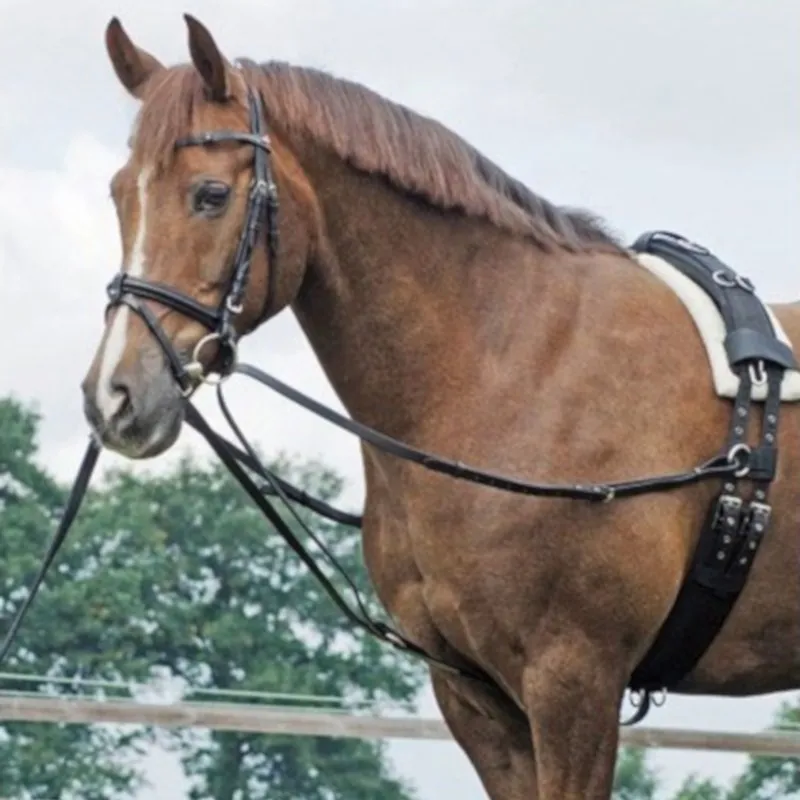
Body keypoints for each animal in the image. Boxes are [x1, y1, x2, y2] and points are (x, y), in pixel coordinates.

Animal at [78, 15, 800, 799]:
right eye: (120, 195)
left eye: (210, 194)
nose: (114, 395)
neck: (508, 368)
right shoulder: (473, 694)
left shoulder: (575, 678)